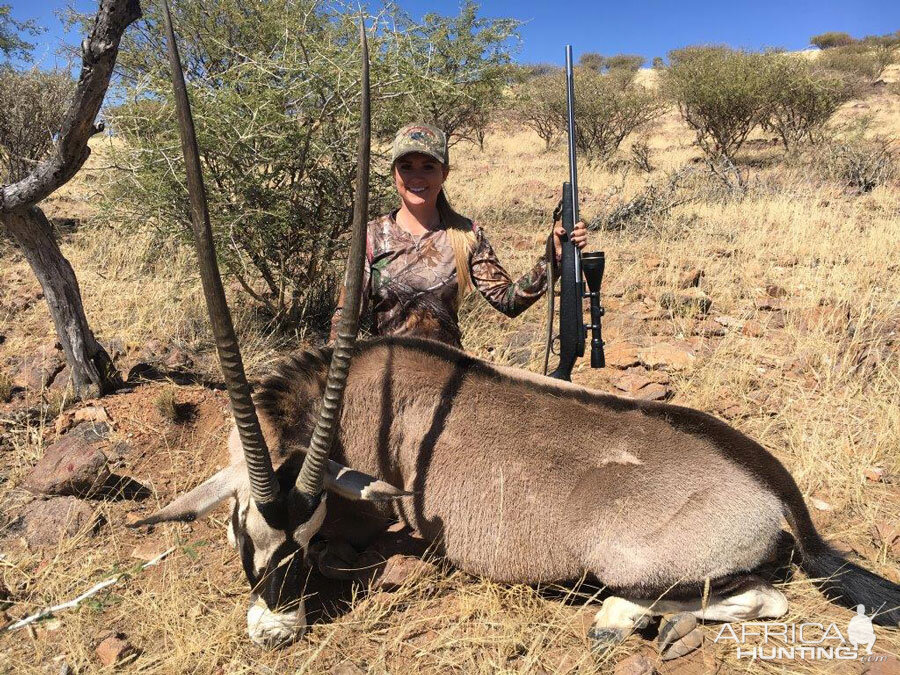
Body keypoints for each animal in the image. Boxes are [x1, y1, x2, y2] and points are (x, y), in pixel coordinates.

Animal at [135, 3, 900, 656]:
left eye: (310, 532)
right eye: (244, 526)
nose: (276, 630)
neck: (361, 393)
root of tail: (776, 488)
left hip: (635, 564)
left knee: (761, 598)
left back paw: (617, 617)